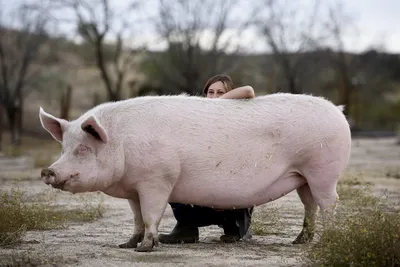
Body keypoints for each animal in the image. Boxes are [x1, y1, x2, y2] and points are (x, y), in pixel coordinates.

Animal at [39, 93, 352, 252]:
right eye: (64, 147)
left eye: (83, 148)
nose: (47, 171)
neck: (121, 141)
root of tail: (338, 111)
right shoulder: (133, 189)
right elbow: (137, 217)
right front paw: (125, 244)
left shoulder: (157, 180)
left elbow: (151, 214)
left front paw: (146, 248)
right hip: (303, 177)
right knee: (309, 204)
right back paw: (299, 241)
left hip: (323, 170)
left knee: (329, 203)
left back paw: (326, 241)